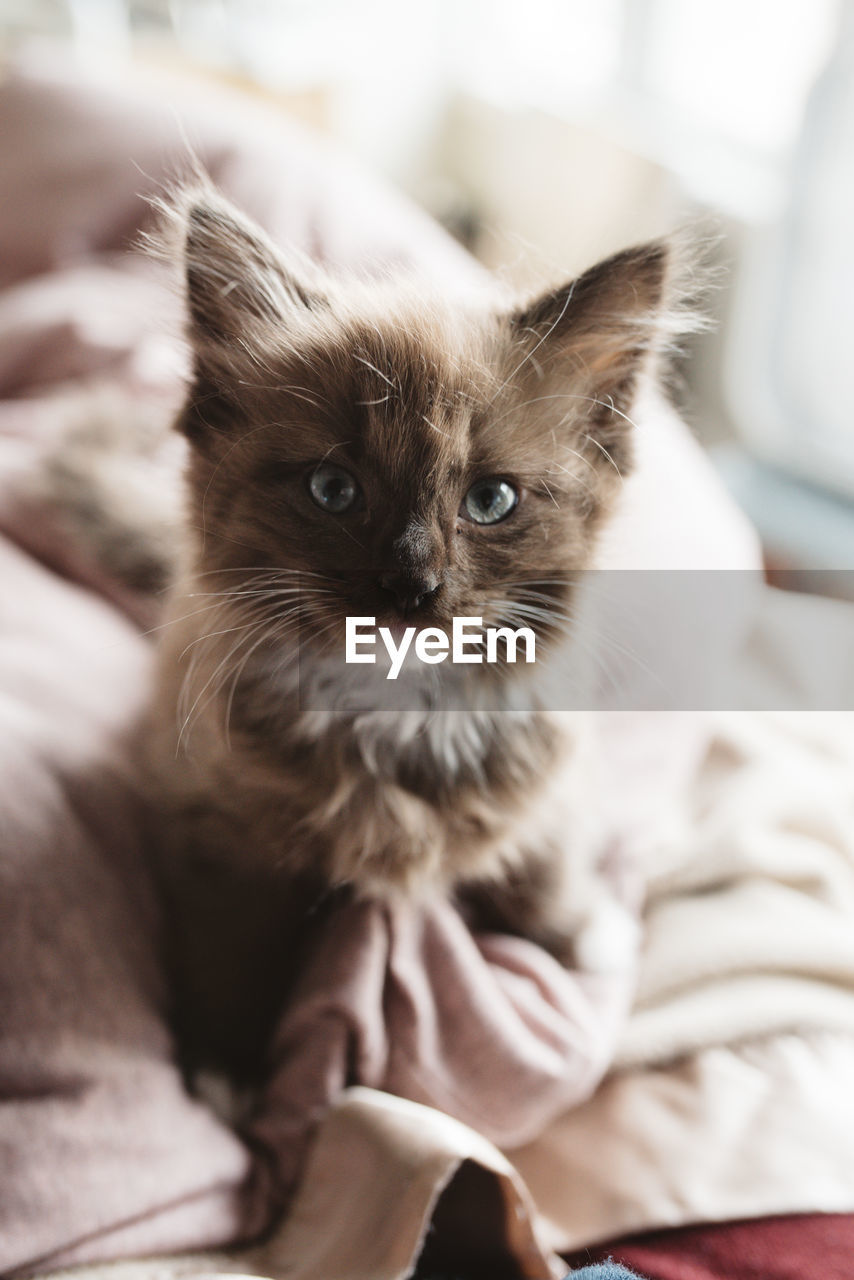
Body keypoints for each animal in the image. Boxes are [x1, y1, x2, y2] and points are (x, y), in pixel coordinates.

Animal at [145, 185, 686, 1075]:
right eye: (333, 489)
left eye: (491, 501)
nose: (411, 586)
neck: (398, 708)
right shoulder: (220, 828)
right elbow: (232, 958)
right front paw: (227, 1074)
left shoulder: (550, 768)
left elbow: (544, 854)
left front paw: (580, 934)